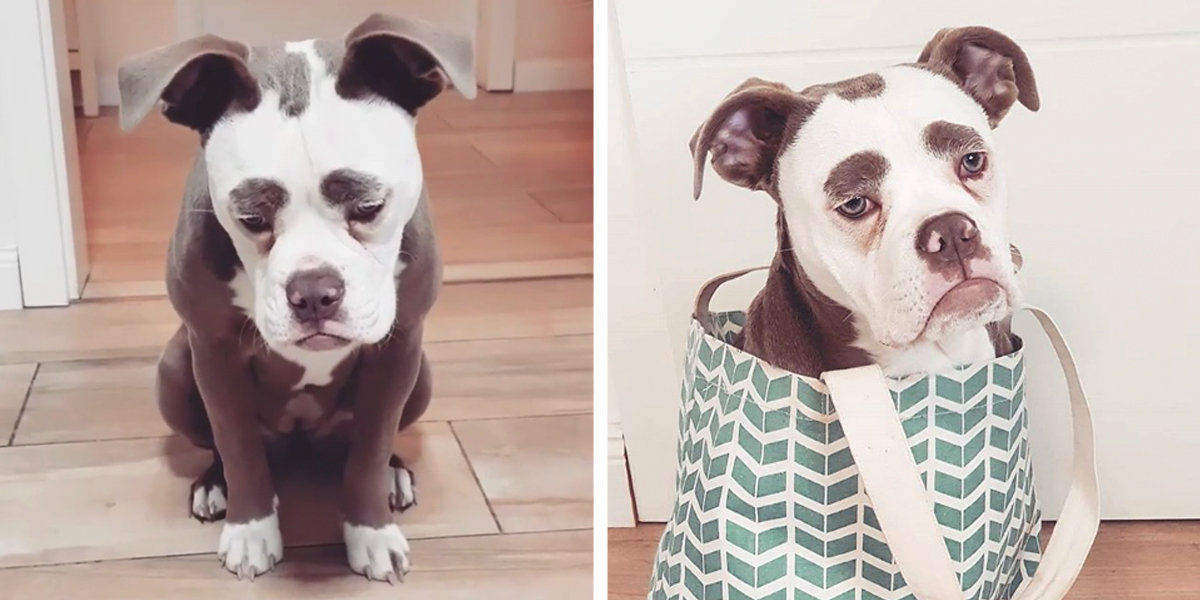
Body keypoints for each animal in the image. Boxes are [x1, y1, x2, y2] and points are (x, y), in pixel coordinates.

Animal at [117, 12, 472, 580]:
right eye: (250, 217)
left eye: (370, 206)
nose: (313, 293)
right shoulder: (213, 351)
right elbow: (236, 443)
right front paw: (249, 529)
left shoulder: (399, 349)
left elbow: (372, 447)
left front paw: (370, 532)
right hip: (174, 372)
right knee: (223, 443)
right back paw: (214, 486)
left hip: (421, 377)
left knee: (367, 443)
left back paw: (394, 475)